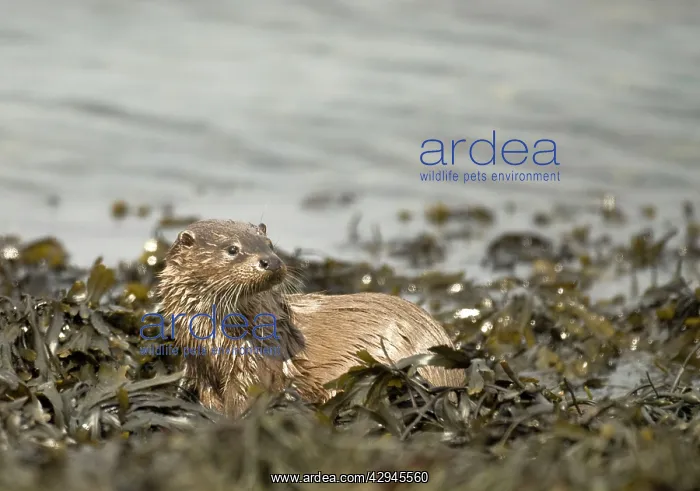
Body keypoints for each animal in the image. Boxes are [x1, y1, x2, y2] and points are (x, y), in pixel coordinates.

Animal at [157, 219, 463, 417]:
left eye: (269, 244)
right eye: (232, 249)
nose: (271, 261)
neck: (215, 342)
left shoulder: (254, 367)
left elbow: (245, 400)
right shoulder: (200, 368)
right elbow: (209, 398)